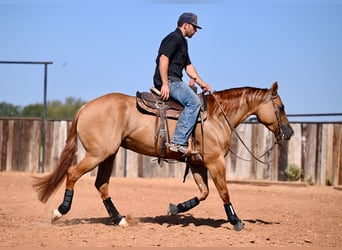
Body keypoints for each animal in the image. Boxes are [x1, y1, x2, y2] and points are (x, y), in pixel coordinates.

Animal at [32, 81, 294, 230]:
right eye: (281, 107)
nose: (290, 132)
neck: (217, 116)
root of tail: (85, 107)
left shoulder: (198, 164)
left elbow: (204, 193)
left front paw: (175, 208)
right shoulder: (215, 162)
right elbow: (223, 192)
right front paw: (236, 221)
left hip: (108, 154)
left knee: (102, 185)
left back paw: (120, 219)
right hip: (98, 154)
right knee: (72, 173)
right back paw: (59, 211)